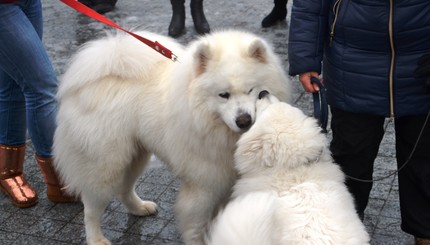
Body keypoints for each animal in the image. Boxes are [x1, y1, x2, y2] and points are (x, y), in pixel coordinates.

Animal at [52, 30, 290, 245]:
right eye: (224, 95)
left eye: (252, 90)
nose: (244, 120)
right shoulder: (204, 184)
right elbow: (197, 225)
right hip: (104, 165)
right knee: (91, 207)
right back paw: (96, 239)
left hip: (135, 155)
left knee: (124, 189)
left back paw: (139, 208)